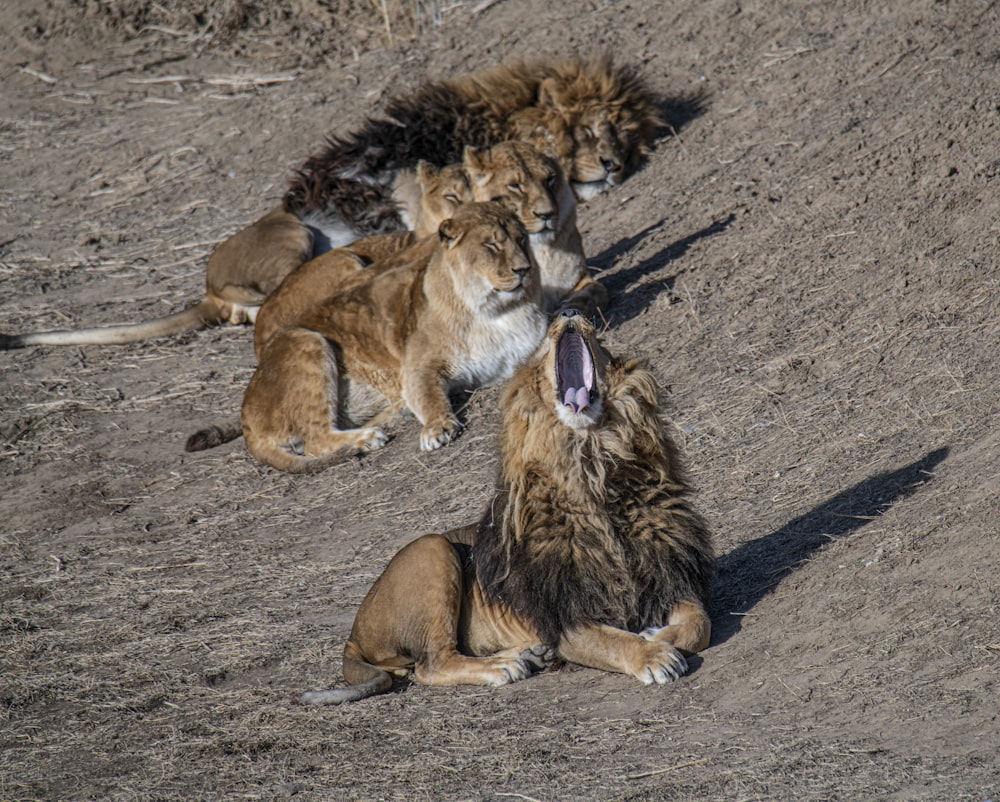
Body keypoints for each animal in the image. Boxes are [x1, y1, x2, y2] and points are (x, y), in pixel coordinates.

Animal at [241, 203, 548, 472]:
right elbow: (428, 396)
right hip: (305, 338)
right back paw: (368, 437)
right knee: (315, 440)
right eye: (491, 245)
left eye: (522, 239)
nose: (524, 269)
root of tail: (246, 421)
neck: (497, 312)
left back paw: (395, 414)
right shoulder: (418, 367)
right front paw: (437, 428)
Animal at [292, 310, 716, 704]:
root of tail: (353, 633)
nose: (569, 312)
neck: (591, 465)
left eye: (602, 343)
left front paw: (658, 634)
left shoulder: (669, 576)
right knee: (432, 663)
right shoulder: (564, 619)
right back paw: (504, 665)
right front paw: (652, 654)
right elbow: (615, 641)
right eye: (542, 344)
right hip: (432, 549)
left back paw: (530, 655)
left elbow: (699, 624)